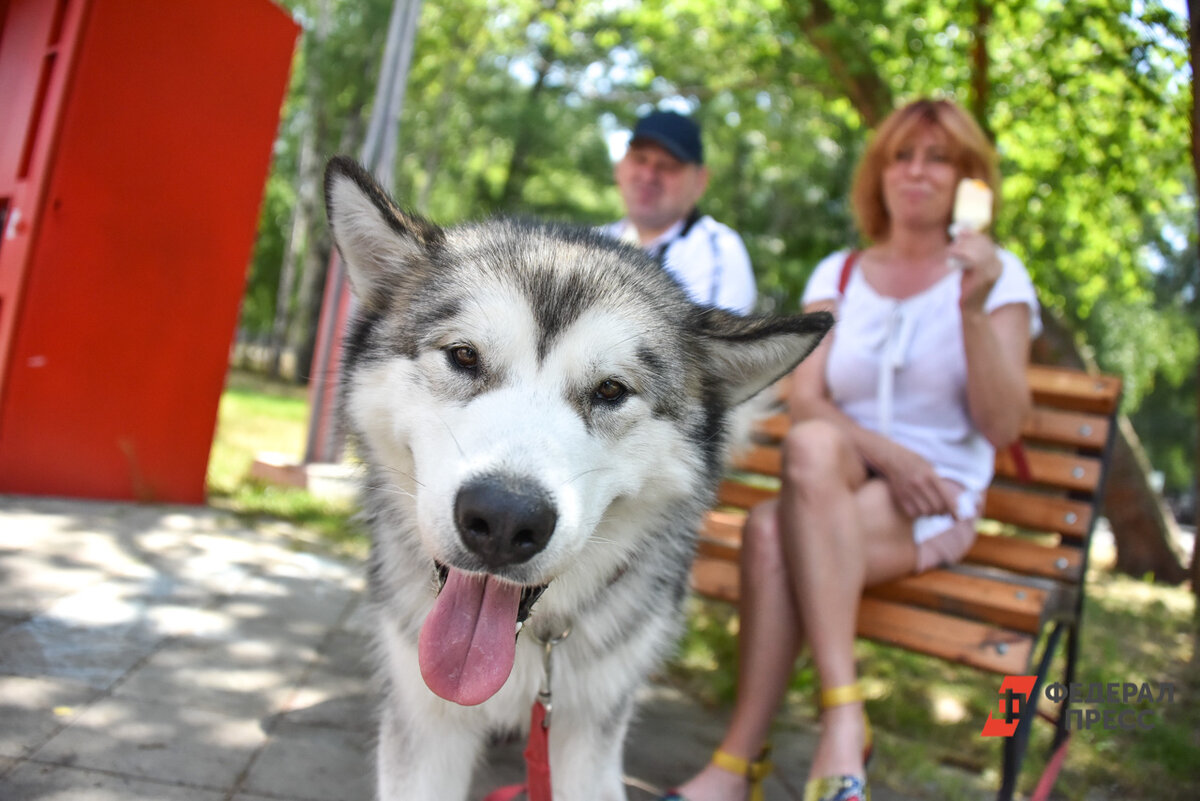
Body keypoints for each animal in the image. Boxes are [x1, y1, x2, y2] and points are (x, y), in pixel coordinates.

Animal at [326, 158, 835, 801]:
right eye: (464, 356)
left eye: (611, 390)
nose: (504, 518)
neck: (528, 649)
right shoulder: (425, 727)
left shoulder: (591, 729)